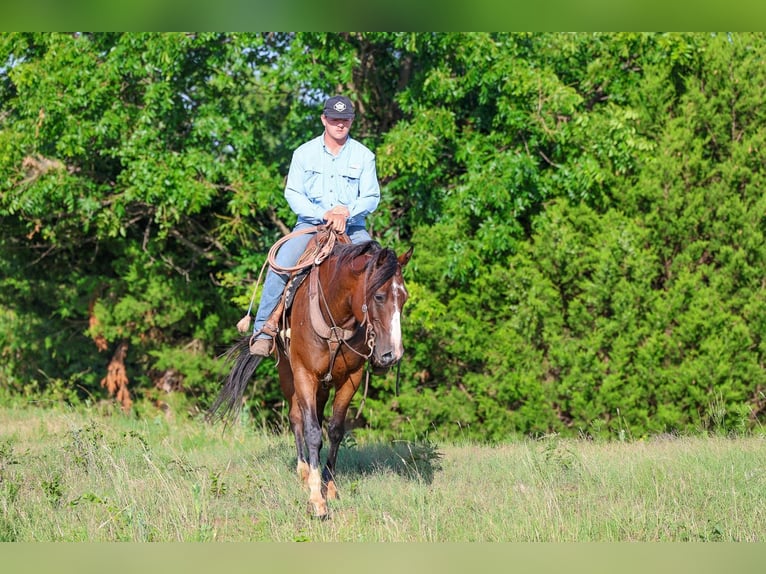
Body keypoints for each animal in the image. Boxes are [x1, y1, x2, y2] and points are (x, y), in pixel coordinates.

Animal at [208, 232, 413, 518]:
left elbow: (335, 430)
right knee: (297, 419)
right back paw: (304, 471)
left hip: (324, 385)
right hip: (287, 372)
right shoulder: (304, 374)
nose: (391, 354)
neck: (336, 317)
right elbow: (312, 431)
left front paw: (330, 487)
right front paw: (317, 498)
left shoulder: (352, 378)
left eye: (404, 297)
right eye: (380, 296)